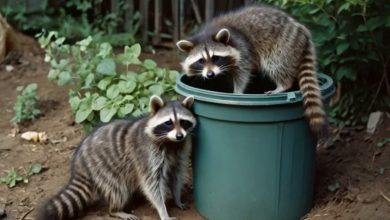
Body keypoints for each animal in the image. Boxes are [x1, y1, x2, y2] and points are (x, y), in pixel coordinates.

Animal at [36, 96, 197, 220]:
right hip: (102, 167)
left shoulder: (180, 151)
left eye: (183, 122)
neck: (171, 142)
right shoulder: (147, 155)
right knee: (117, 189)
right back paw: (115, 210)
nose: (179, 135)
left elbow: (176, 176)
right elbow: (152, 185)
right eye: (168, 123)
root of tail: (79, 160)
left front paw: (177, 198)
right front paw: (163, 211)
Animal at [177, 4, 326, 136]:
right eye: (201, 61)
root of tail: (303, 31)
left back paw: (283, 85)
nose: (210, 74)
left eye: (215, 58)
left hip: (284, 44)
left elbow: (243, 73)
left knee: (275, 63)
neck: (208, 34)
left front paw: (237, 92)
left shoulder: (242, 48)